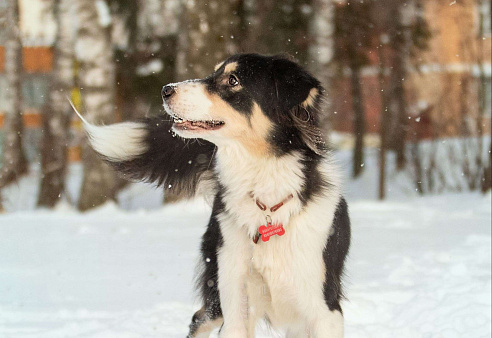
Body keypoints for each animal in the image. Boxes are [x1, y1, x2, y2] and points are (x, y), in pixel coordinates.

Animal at [79, 54, 352, 336]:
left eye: (232, 80)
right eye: (214, 73)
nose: (165, 90)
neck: (266, 202)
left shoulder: (325, 308)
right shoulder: (236, 299)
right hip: (217, 291)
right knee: (198, 318)